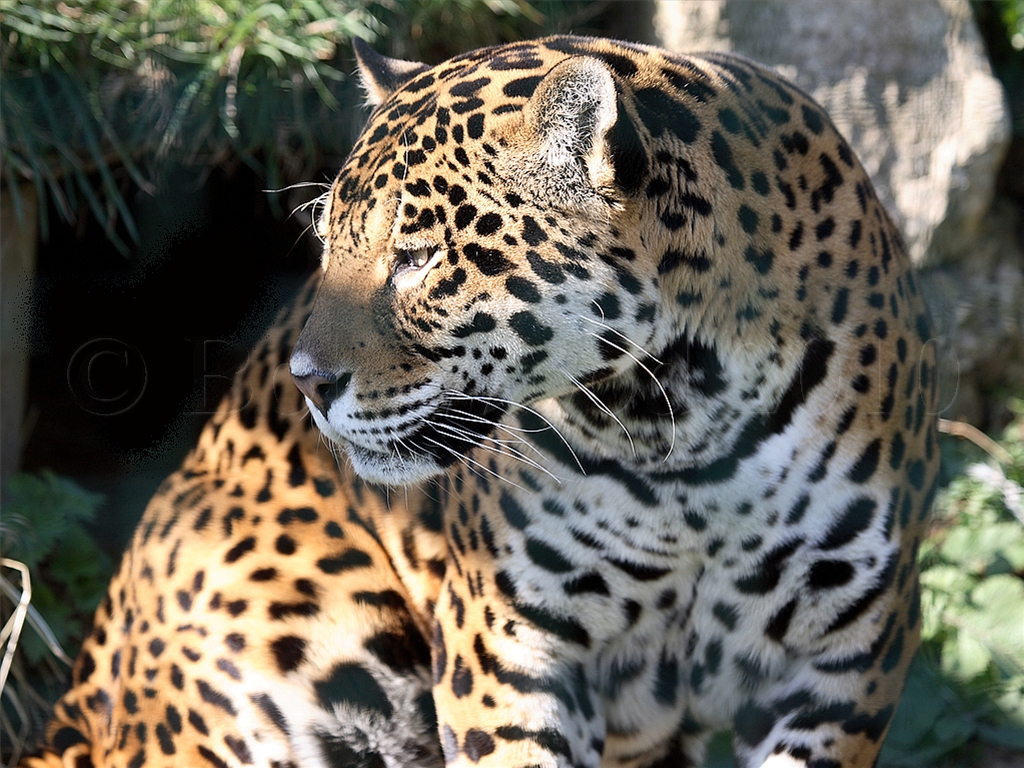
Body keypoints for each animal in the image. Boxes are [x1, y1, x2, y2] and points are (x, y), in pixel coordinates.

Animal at [24, 35, 939, 768]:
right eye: (328, 246)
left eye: (418, 257)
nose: (306, 380)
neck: (681, 425)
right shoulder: (509, 646)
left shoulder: (846, 659)